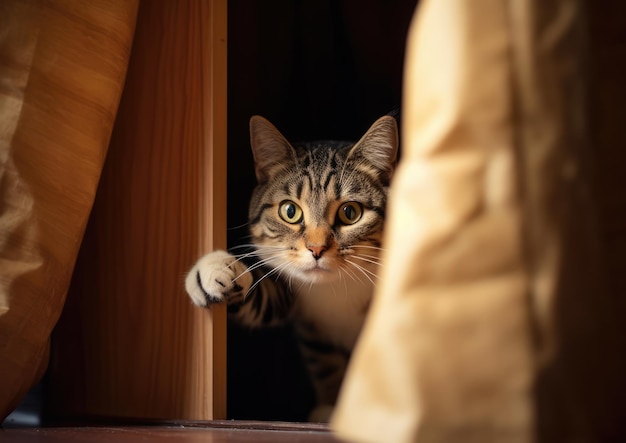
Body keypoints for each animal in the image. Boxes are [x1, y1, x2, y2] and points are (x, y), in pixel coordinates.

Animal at [184, 114, 394, 424]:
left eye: (350, 212)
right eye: (290, 211)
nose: (316, 249)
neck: (336, 289)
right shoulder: (298, 305)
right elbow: (325, 365)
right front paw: (212, 269)